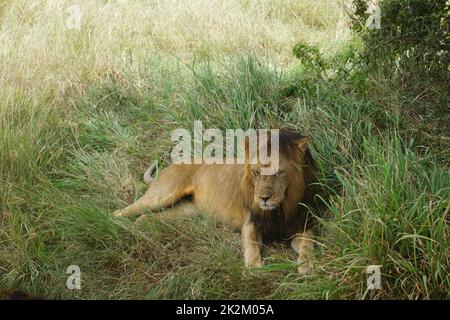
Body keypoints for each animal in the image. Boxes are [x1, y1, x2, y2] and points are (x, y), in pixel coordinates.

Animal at [114, 129, 318, 274]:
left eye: (277, 173)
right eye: (256, 172)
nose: (264, 198)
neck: (280, 208)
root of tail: (170, 166)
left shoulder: (301, 225)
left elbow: (308, 243)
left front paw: (307, 266)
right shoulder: (251, 223)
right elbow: (252, 246)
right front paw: (254, 268)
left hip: (185, 212)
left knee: (146, 218)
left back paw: (140, 228)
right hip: (161, 195)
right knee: (120, 212)